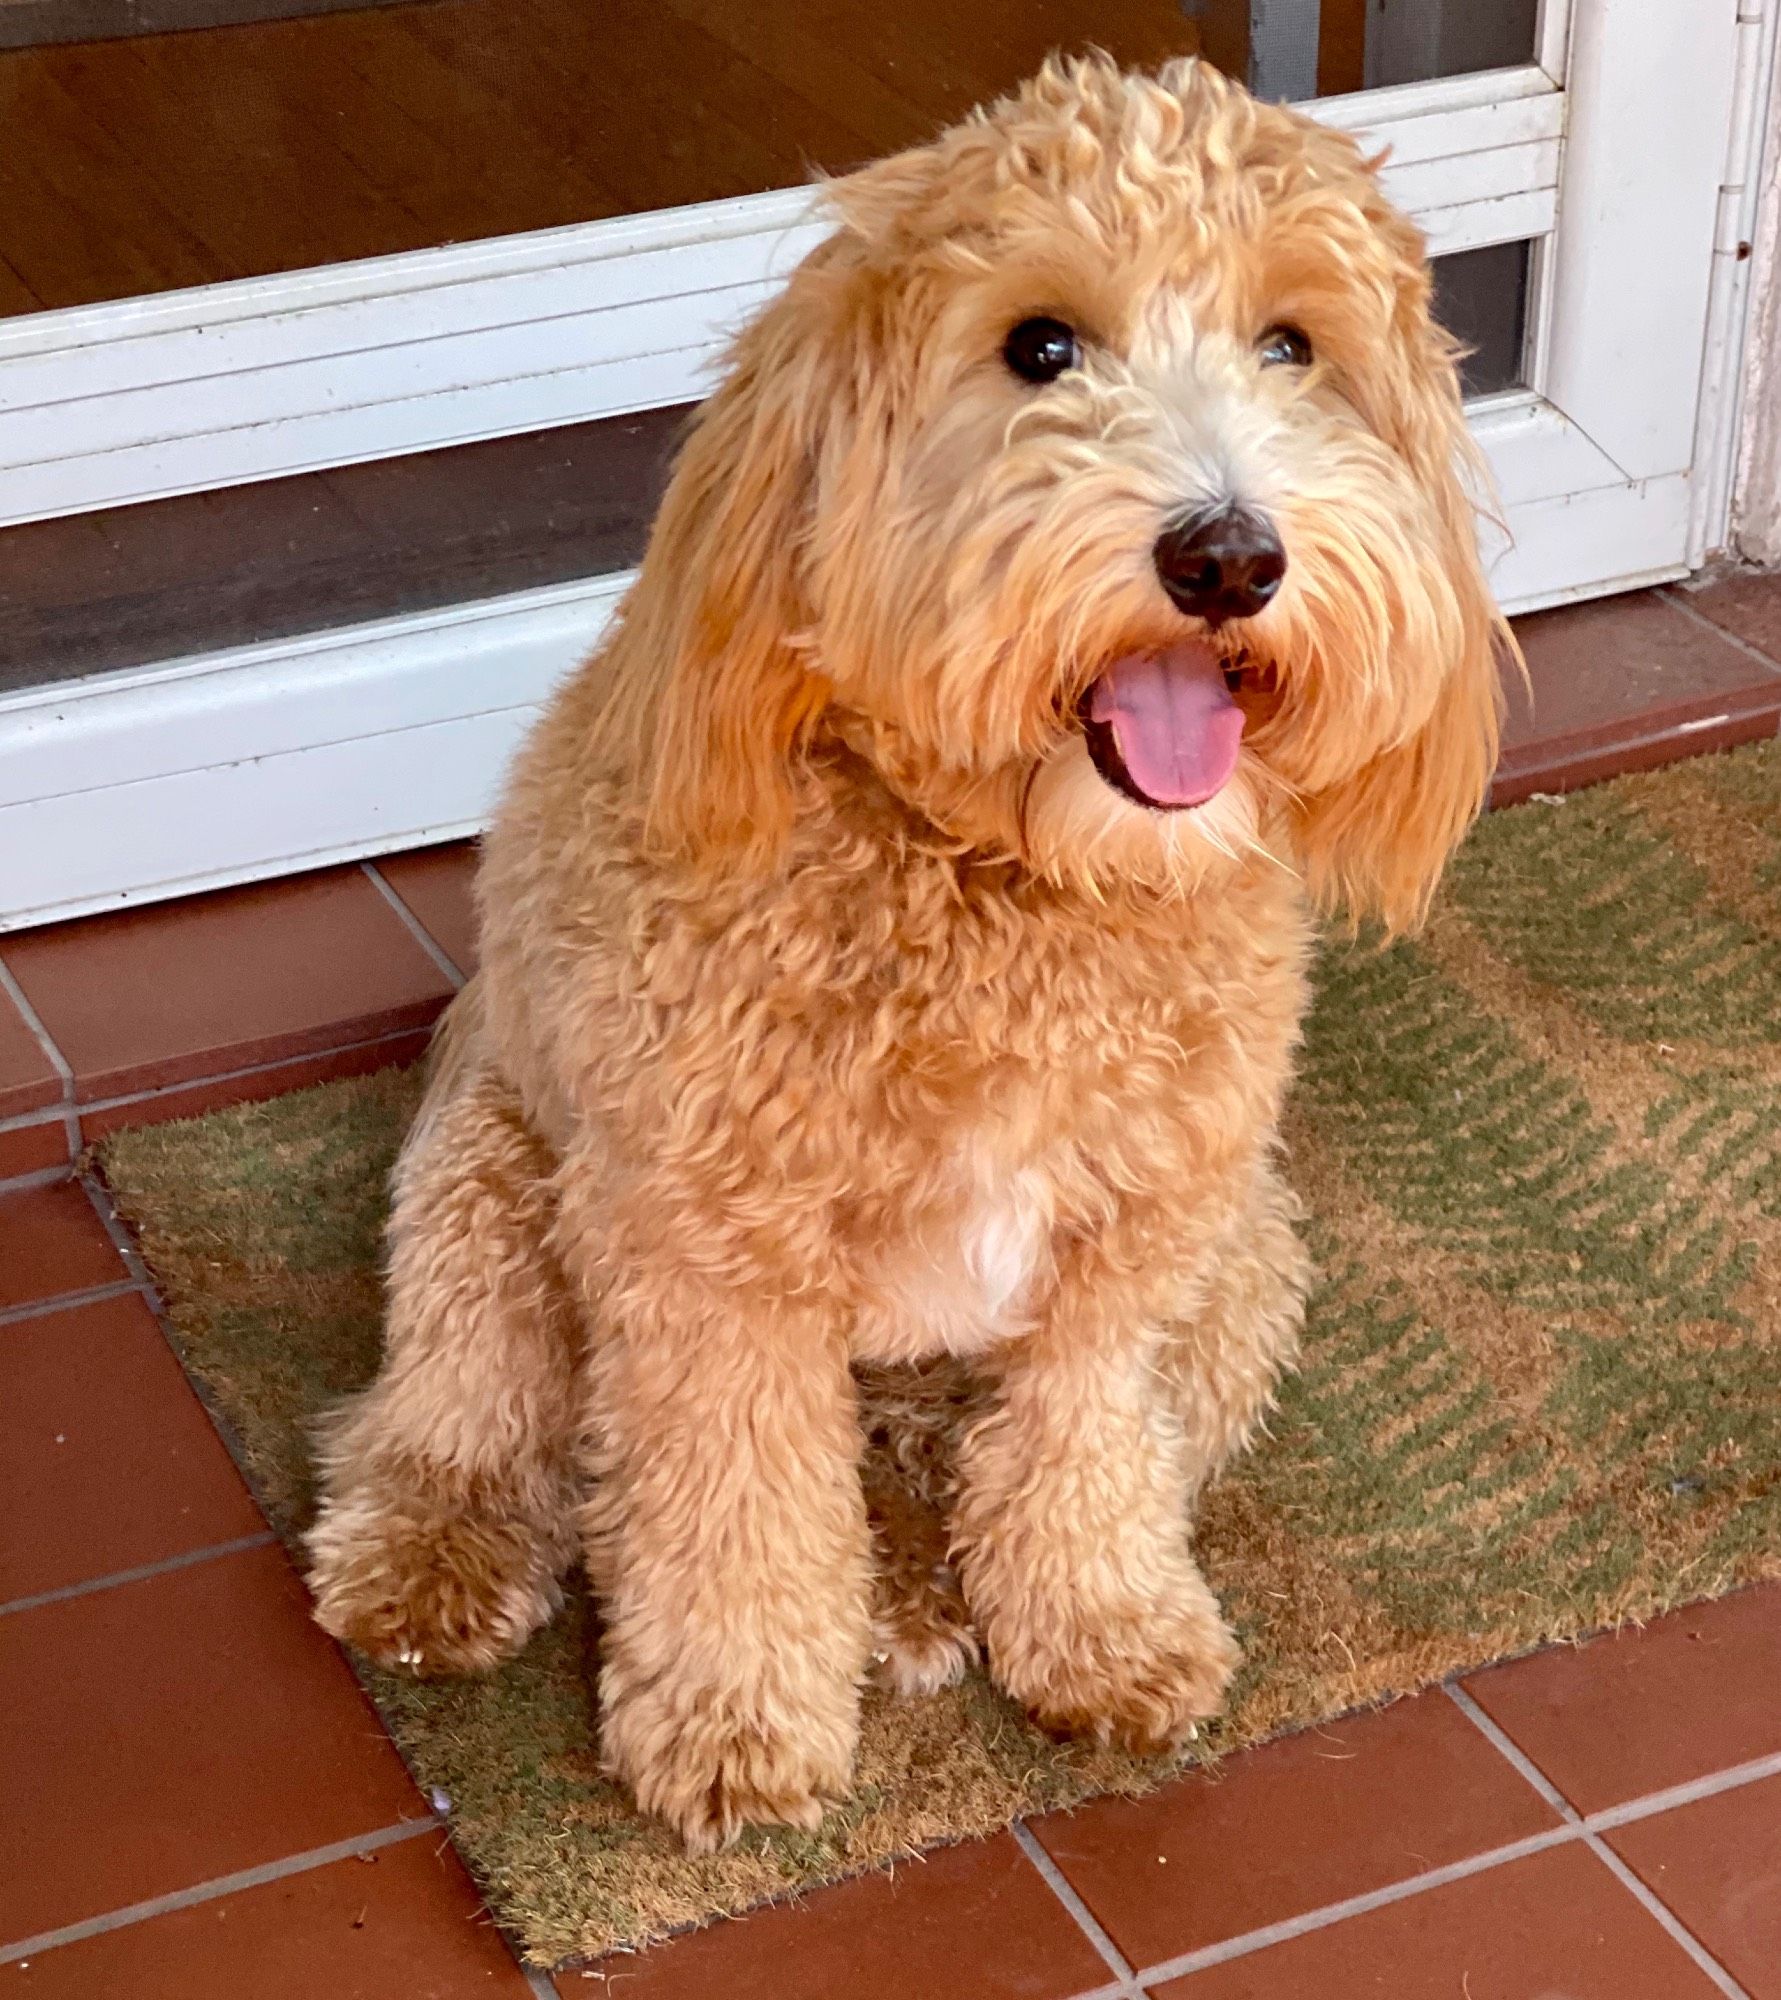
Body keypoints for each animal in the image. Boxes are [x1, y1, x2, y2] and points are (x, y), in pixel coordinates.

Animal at [302, 50, 1496, 1856]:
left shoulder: (1132, 1239)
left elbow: (1082, 1450)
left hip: (1248, 1263)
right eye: (1041, 347)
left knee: (993, 1464)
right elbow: (731, 1512)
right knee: (467, 1420)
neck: (1010, 886)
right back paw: (440, 1551)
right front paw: (734, 1723)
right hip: (490, 1189)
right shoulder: (707, 1265)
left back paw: (934, 1593)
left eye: (1291, 345)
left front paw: (1101, 1629)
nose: (1228, 557)